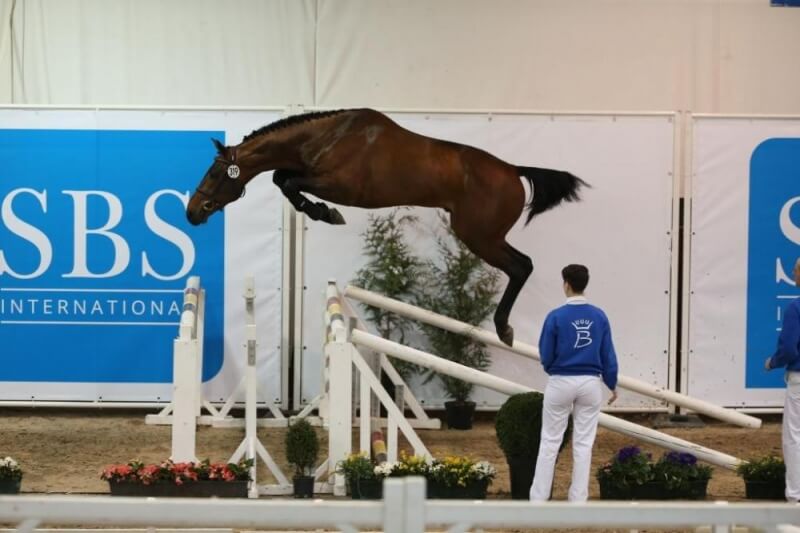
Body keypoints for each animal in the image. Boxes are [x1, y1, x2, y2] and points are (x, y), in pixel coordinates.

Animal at [187, 108, 587, 346]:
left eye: (215, 173)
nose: (193, 212)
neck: (327, 137)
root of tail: (514, 171)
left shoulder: (339, 186)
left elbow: (286, 182)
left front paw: (326, 213)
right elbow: (282, 178)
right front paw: (320, 211)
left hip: (480, 236)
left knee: (522, 265)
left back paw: (504, 328)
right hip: (483, 236)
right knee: (522, 264)